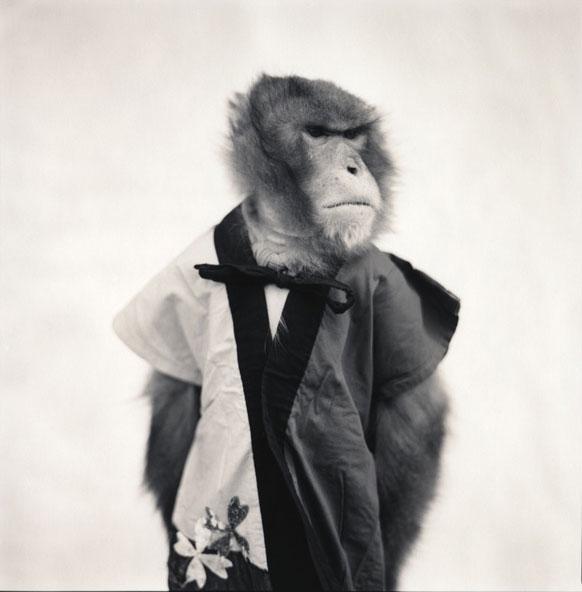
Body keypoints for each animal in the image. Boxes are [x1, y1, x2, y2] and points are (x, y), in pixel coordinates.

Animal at [114, 74, 460, 591]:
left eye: (354, 135)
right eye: (318, 133)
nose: (354, 165)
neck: (287, 257)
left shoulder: (391, 289)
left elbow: (416, 419)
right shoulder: (183, 275)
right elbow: (176, 394)